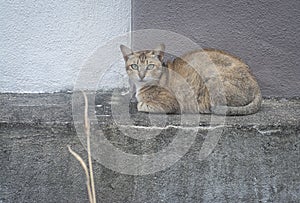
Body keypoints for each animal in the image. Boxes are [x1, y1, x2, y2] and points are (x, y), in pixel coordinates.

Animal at [119, 43, 260, 115]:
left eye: (150, 66)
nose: (141, 75)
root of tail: (257, 86)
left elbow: (142, 105)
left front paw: (140, 103)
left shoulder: (171, 102)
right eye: (134, 66)